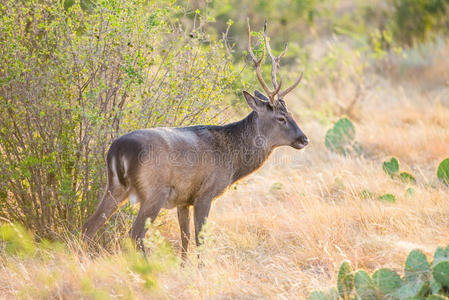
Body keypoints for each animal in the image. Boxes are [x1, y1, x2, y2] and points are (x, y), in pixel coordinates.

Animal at [81, 18, 308, 258]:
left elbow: (185, 239)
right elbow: (200, 239)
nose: (304, 139)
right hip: (153, 191)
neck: (232, 159)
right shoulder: (205, 194)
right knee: (135, 234)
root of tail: (117, 150)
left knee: (89, 226)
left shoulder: (183, 199)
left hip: (115, 187)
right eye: (281, 118)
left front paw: (183, 264)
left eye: (290, 113)